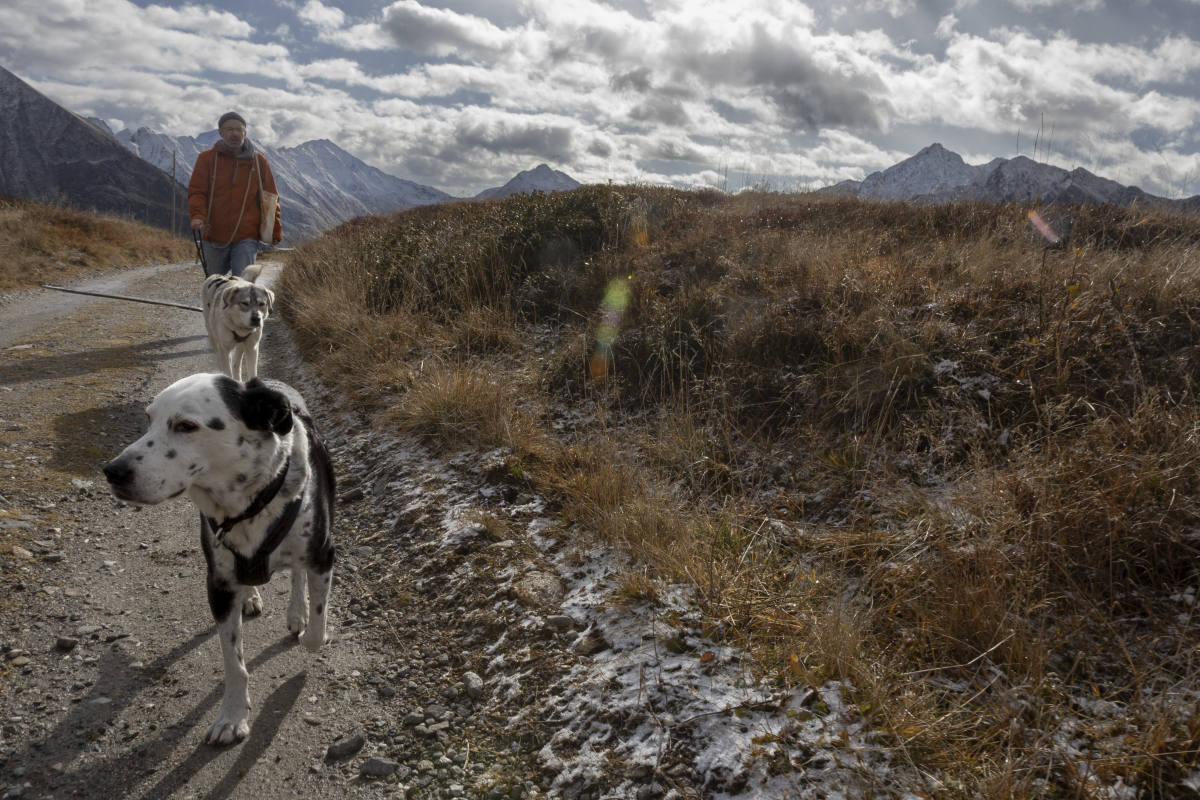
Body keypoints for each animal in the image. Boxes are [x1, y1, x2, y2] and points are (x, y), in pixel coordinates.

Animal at [103, 374, 336, 745]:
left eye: (186, 425)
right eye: (148, 419)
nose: (112, 471)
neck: (248, 505)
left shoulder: (324, 556)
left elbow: (316, 628)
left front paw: (307, 625)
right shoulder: (219, 584)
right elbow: (234, 664)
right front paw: (232, 716)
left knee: (298, 577)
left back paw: (296, 611)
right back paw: (253, 596)